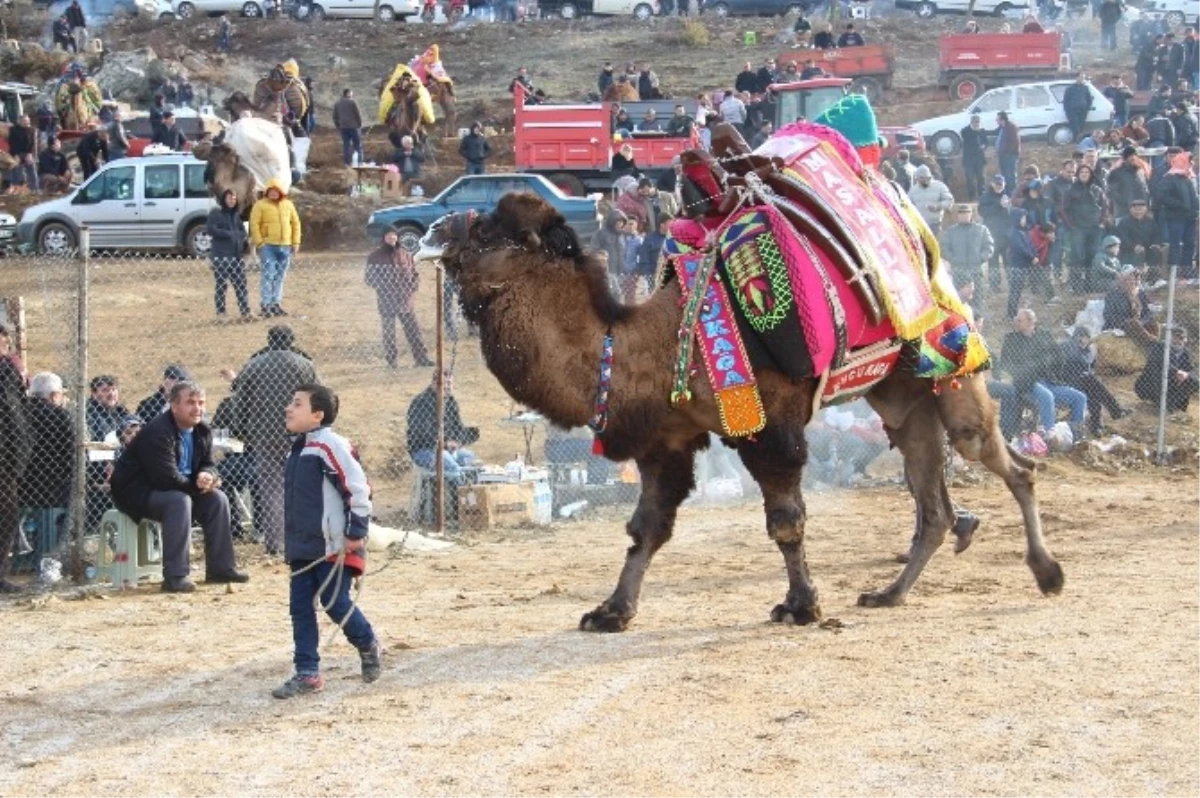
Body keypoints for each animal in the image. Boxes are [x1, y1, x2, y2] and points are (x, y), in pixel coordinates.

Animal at [417, 96, 1065, 628]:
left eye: (487, 232)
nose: (430, 229)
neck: (658, 339)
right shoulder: (667, 437)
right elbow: (646, 528)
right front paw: (611, 610)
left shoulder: (770, 421)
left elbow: (785, 519)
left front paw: (801, 605)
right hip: (901, 393)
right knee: (931, 502)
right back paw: (889, 593)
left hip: (950, 357)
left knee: (1006, 463)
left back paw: (1047, 573)